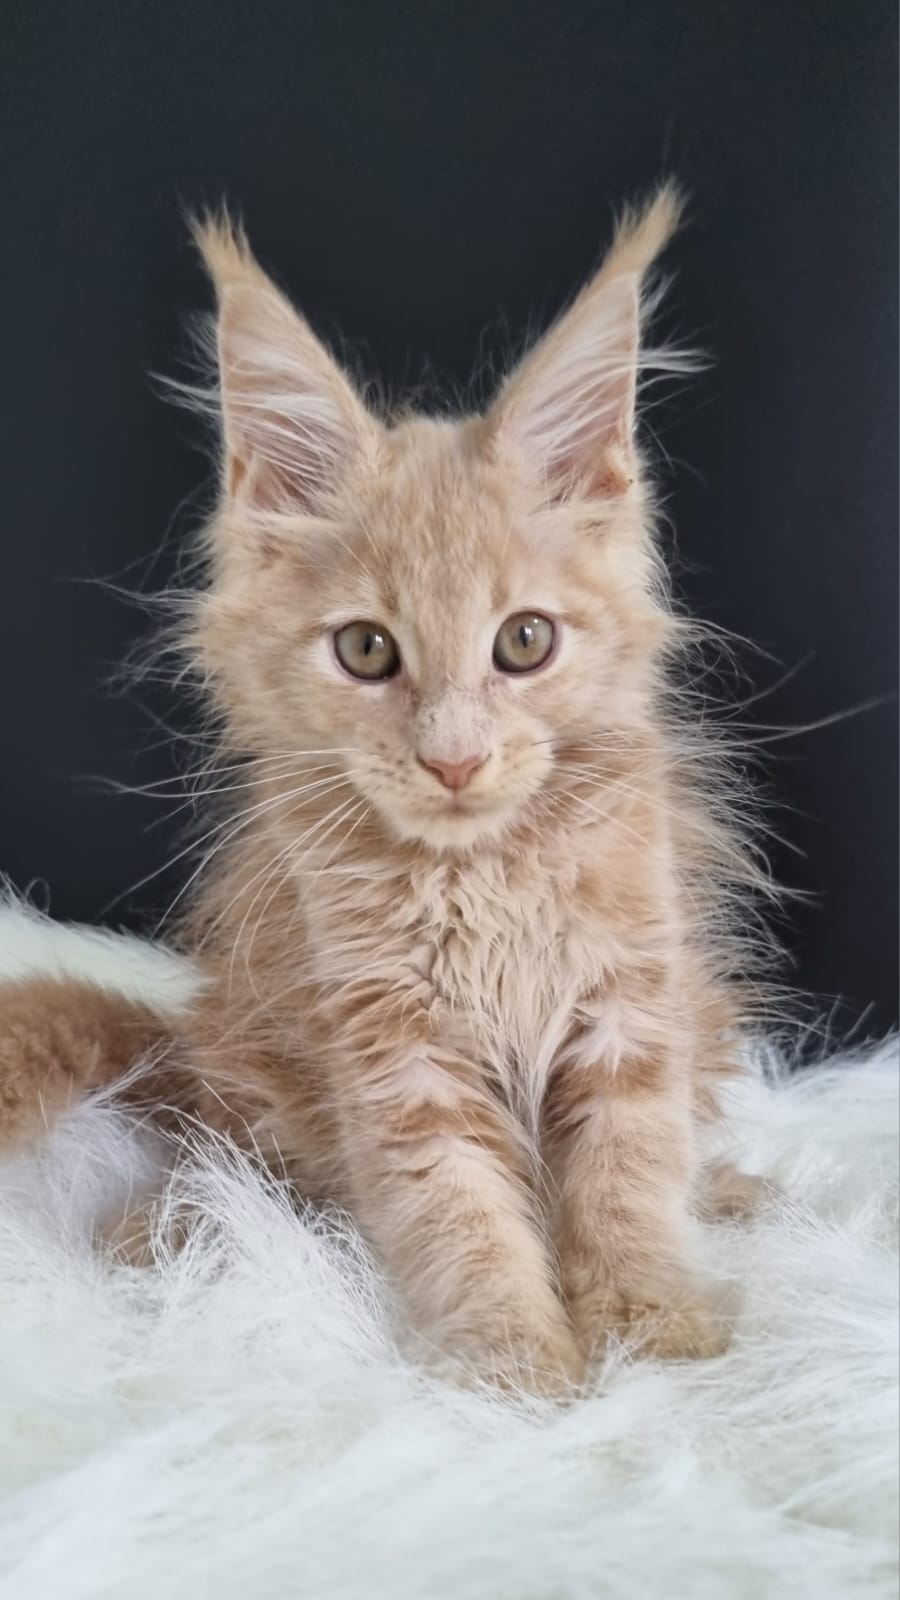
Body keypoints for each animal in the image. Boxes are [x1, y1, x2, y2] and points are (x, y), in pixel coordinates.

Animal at [0, 188, 770, 1393]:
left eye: (525, 641)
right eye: (366, 651)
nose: (452, 758)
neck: (485, 874)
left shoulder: (631, 1004)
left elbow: (628, 1182)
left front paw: (655, 1328)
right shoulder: (393, 1050)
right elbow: (460, 1213)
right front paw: (514, 1366)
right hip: (254, 1082)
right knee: (231, 1166)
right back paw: (171, 1230)